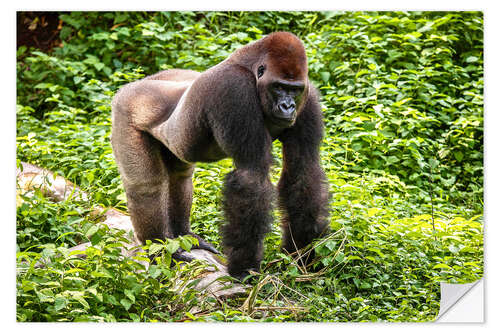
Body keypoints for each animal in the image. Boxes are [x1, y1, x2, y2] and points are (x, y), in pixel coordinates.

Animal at [111, 32, 330, 278]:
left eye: (294, 89)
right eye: (279, 87)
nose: (288, 106)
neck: (250, 66)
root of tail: (135, 84)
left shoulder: (309, 98)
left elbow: (303, 172)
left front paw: (302, 254)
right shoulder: (234, 88)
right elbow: (251, 177)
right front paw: (244, 268)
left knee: (180, 177)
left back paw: (183, 235)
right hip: (128, 106)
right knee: (146, 187)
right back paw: (161, 250)